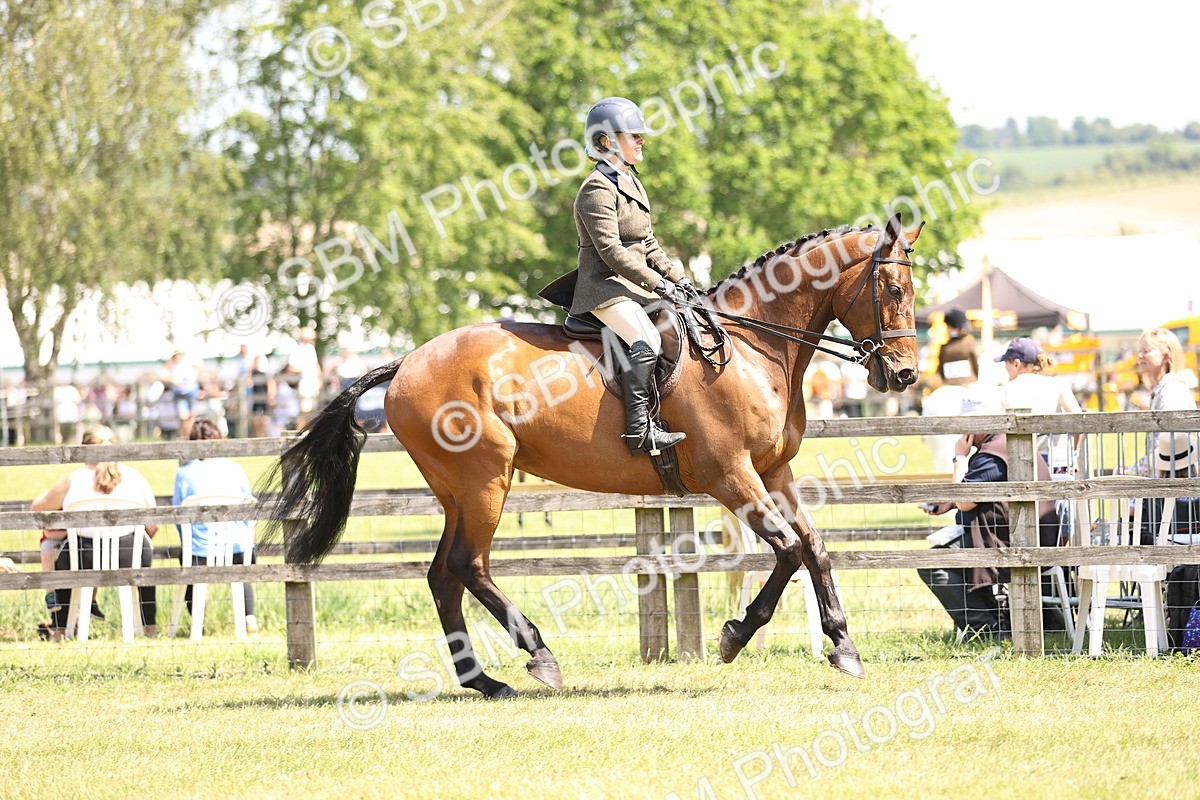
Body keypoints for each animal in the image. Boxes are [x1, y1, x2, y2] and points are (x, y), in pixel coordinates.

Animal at [262, 213, 922, 698]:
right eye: (892, 289)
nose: (904, 374)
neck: (752, 347)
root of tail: (405, 363)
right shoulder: (730, 475)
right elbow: (787, 550)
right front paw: (735, 635)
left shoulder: (772, 471)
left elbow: (815, 547)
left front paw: (843, 646)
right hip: (485, 482)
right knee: (468, 567)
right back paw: (538, 658)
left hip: (456, 491)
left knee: (443, 576)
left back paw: (485, 682)